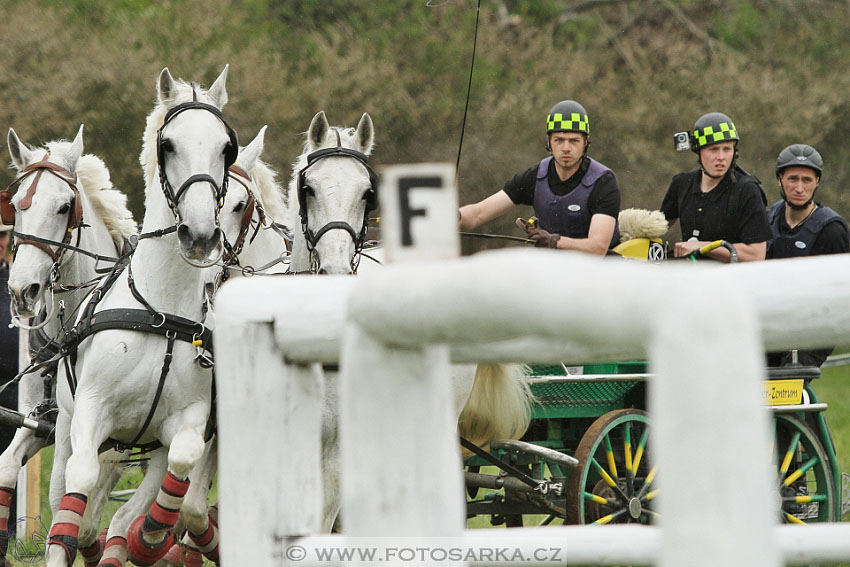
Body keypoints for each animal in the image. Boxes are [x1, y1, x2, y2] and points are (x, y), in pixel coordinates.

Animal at [0, 126, 137, 564]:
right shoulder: (43, 420)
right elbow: (11, 466)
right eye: (16, 206)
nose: (22, 290)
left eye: (64, 207)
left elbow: (88, 513)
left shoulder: (117, 438)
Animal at [44, 67, 232, 567]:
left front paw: (151, 535)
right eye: (169, 145)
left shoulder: (188, 420)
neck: (159, 312)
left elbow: (181, 462)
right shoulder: (90, 410)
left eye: (226, 147)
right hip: (68, 425)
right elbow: (79, 486)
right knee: (64, 501)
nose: (200, 236)